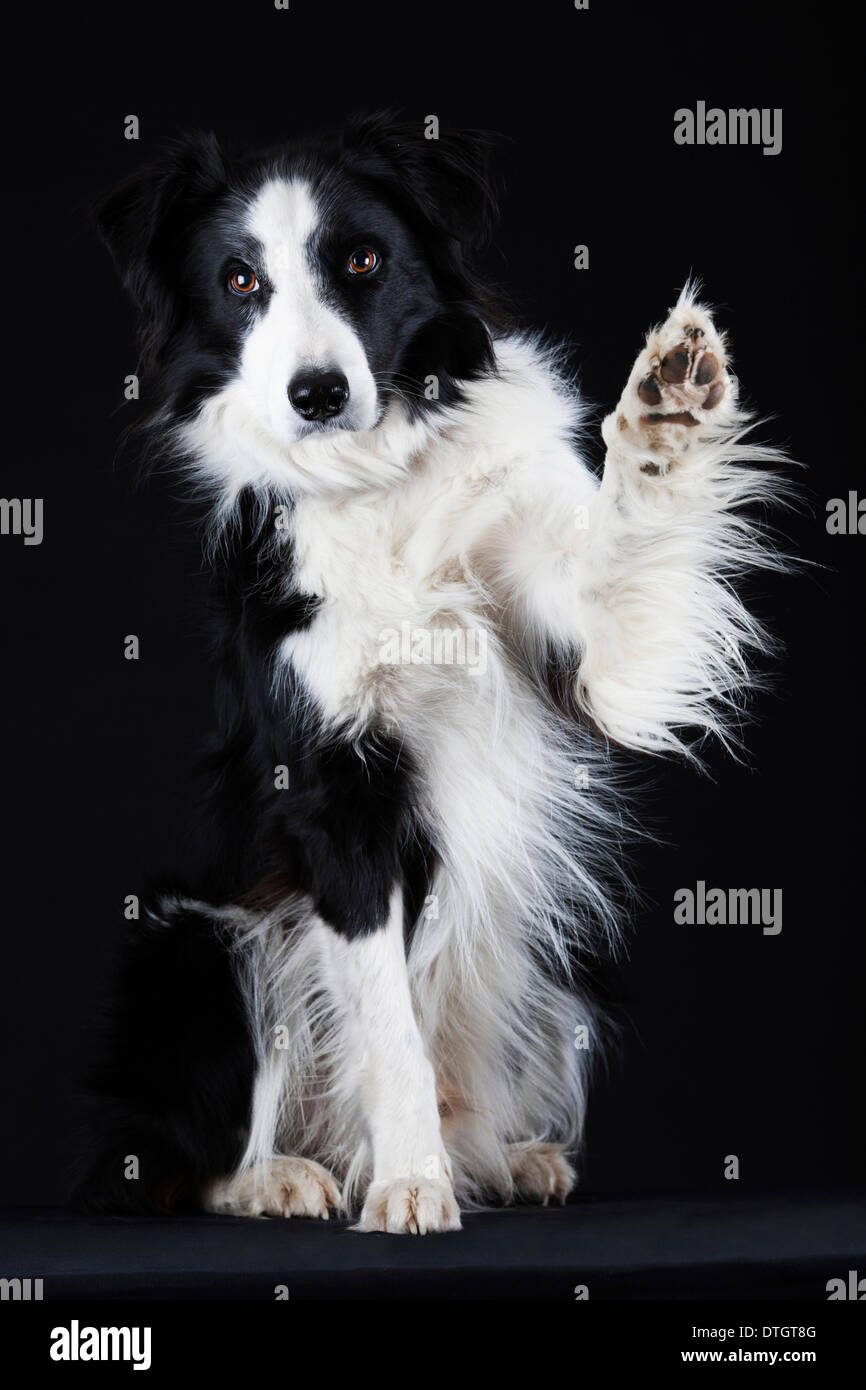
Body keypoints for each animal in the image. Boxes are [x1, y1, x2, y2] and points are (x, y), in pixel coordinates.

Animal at [77, 116, 783, 1228]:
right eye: (240, 281)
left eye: (362, 260)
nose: (317, 393)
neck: (380, 480)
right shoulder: (335, 804)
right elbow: (387, 1027)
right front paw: (409, 1185)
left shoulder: (594, 657)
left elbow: (623, 553)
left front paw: (665, 412)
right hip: (195, 941)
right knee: (187, 1156)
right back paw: (290, 1176)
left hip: (543, 977)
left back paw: (501, 1157)